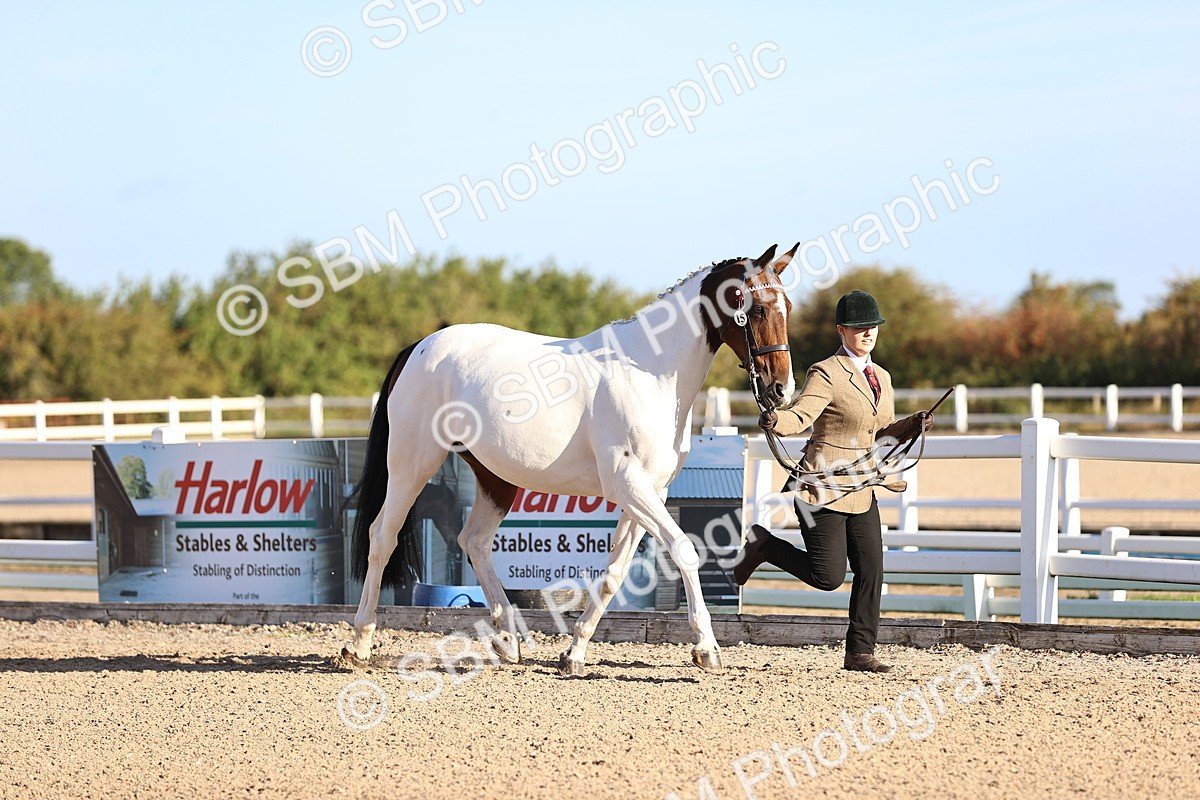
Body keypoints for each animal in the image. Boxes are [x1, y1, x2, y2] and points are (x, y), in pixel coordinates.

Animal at [342, 243, 799, 675]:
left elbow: (614, 573)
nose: (780, 391)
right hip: (412, 463)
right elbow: (684, 549)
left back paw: (506, 641)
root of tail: (418, 349)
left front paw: (574, 652)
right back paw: (358, 644)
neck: (650, 373)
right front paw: (706, 649)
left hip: (495, 479)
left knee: (474, 541)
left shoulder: (650, 492)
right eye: (757, 308)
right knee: (383, 536)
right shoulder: (627, 485)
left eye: (788, 307)